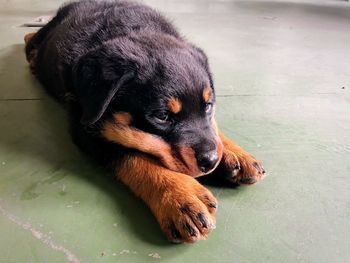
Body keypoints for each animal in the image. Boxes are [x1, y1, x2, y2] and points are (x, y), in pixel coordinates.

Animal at [24, 0, 266, 243]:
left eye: (208, 105)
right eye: (162, 116)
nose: (210, 160)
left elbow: (212, 128)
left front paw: (234, 153)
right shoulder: (85, 124)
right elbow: (134, 158)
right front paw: (181, 197)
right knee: (29, 38)